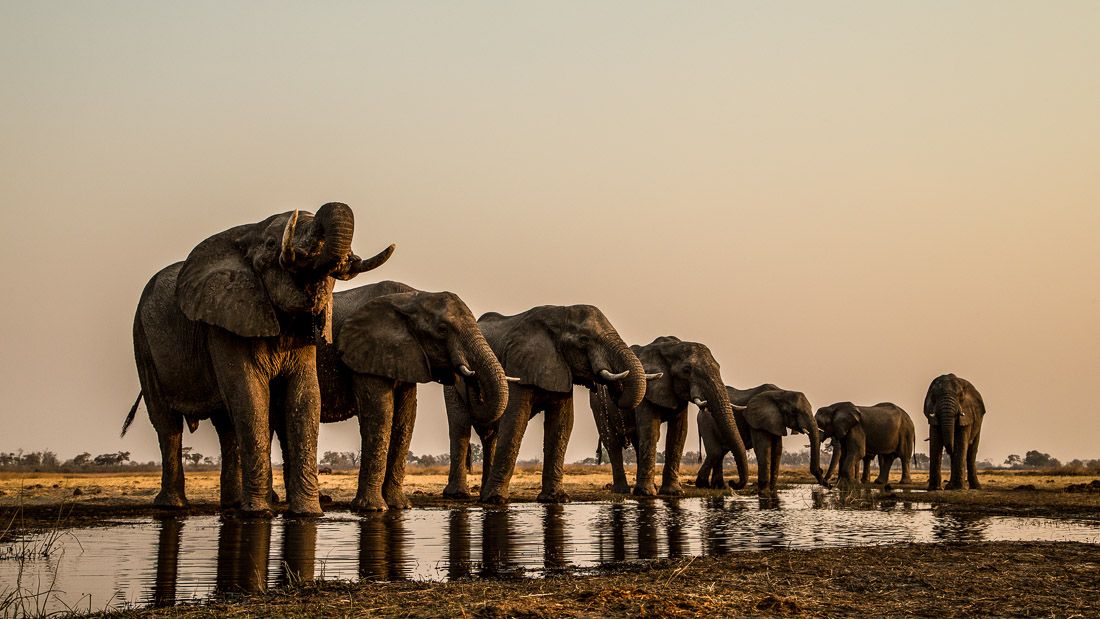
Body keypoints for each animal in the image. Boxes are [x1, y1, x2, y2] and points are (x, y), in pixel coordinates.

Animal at [123, 202, 396, 514]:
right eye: (270, 245)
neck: (248, 233)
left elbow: (305, 398)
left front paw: (308, 512)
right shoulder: (226, 321)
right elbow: (250, 395)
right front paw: (260, 512)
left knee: (226, 426)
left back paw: (232, 504)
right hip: (142, 339)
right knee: (167, 424)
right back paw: (174, 506)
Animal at [299, 281, 508, 514]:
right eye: (442, 330)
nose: (468, 377)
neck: (412, 297)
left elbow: (405, 418)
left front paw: (399, 506)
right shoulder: (366, 352)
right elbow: (380, 414)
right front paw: (373, 509)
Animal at [444, 303, 651, 503]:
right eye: (584, 340)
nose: (612, 389)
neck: (559, 316)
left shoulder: (561, 369)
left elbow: (562, 425)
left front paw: (556, 498)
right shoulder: (518, 366)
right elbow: (515, 421)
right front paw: (495, 499)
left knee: (490, 436)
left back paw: (480, 494)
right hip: (453, 378)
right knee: (460, 426)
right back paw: (459, 495)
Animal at [594, 336, 748, 496]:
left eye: (718, 367)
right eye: (687, 370)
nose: (733, 483)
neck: (671, 347)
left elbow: (679, 432)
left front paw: (673, 492)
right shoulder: (649, 388)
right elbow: (650, 430)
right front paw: (647, 493)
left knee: (636, 441)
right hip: (598, 402)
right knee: (612, 442)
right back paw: (622, 490)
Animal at [695, 389, 827, 496]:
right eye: (794, 411)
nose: (821, 471)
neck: (780, 392)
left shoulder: (776, 421)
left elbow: (777, 450)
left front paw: (772, 490)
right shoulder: (757, 421)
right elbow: (763, 448)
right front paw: (764, 491)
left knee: (720, 453)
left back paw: (719, 487)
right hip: (706, 423)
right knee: (715, 452)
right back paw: (704, 485)